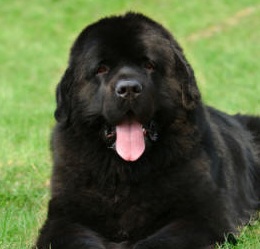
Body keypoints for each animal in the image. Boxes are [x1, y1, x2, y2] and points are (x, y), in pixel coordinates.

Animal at [35, 12, 260, 248]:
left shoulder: (203, 215)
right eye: (101, 69)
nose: (128, 88)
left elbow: (160, 241)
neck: (126, 172)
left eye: (149, 65)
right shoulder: (63, 219)